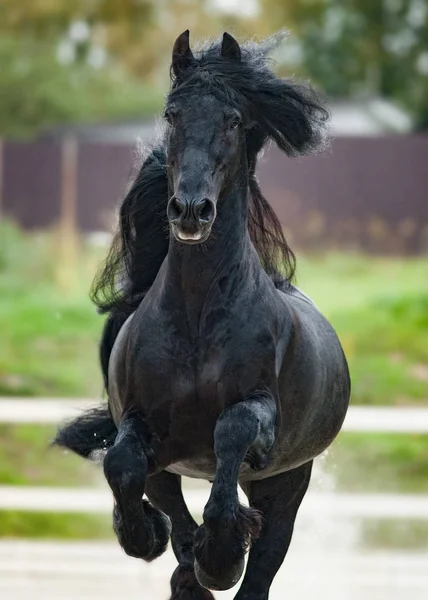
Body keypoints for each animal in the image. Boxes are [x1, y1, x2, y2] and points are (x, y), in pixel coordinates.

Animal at [56, 31, 352, 600]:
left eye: (234, 120)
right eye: (172, 114)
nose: (192, 211)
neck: (197, 315)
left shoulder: (259, 420)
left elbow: (231, 434)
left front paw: (222, 553)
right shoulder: (143, 426)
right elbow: (124, 465)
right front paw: (145, 534)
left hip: (287, 482)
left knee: (261, 567)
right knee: (169, 505)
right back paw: (182, 562)